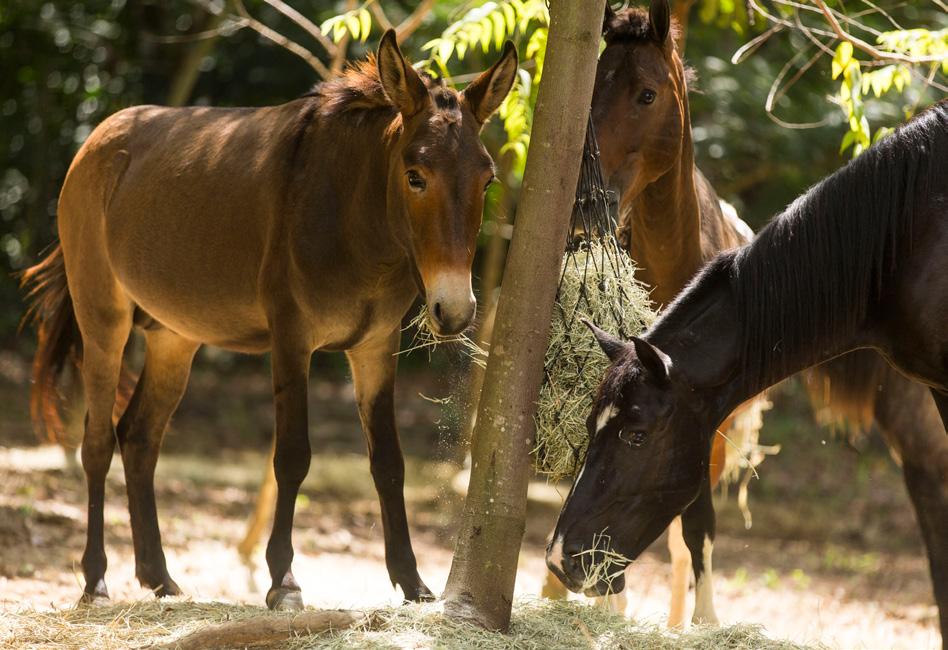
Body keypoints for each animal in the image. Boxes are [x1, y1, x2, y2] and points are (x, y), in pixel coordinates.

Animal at [20, 30, 520, 608]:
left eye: (487, 181)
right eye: (415, 177)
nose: (454, 310)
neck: (351, 216)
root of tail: (96, 139)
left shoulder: (375, 347)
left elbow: (388, 463)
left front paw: (413, 582)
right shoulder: (291, 340)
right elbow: (293, 457)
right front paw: (284, 581)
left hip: (174, 339)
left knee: (140, 438)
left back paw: (160, 578)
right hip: (104, 321)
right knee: (98, 442)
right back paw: (96, 580)